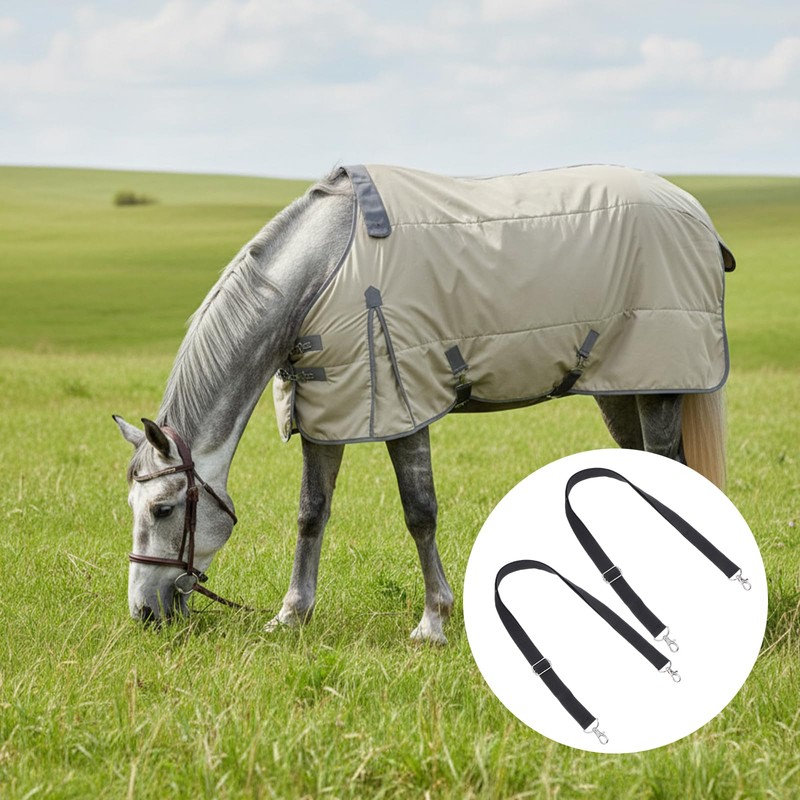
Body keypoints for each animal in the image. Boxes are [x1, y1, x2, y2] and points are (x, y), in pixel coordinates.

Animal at [114, 164, 733, 644]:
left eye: (163, 509)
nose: (143, 612)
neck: (323, 275)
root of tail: (693, 210)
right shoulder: (328, 412)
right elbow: (312, 513)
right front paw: (291, 616)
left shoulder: (401, 406)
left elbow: (419, 512)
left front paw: (433, 621)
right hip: (621, 391)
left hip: (658, 385)